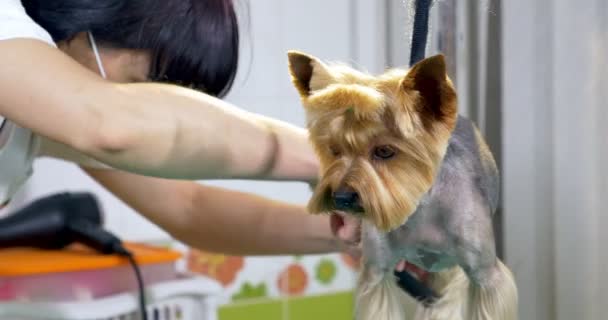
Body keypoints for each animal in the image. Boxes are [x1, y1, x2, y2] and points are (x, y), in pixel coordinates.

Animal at [288, 51, 516, 318]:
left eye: (385, 151)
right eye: (334, 150)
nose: (341, 198)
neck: (421, 210)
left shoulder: (487, 277)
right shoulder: (376, 274)